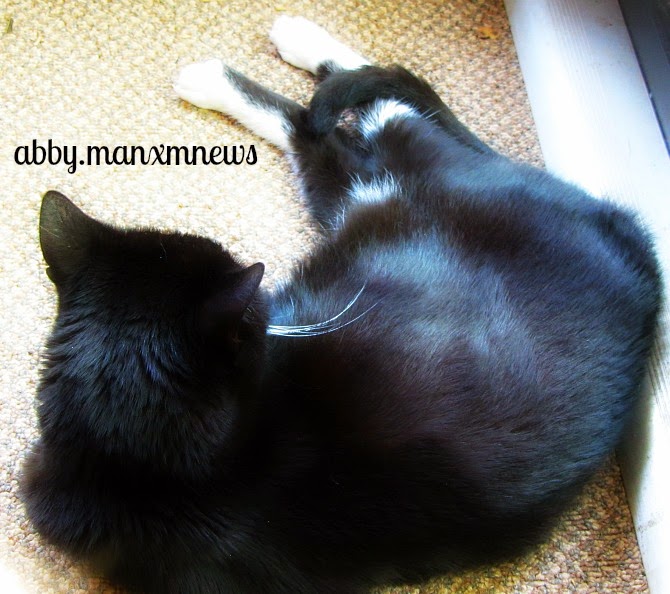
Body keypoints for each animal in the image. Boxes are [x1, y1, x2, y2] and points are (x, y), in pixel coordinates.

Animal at [21, 15, 661, 594]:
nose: (268, 296)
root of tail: (634, 241)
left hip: (397, 178)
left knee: (347, 117)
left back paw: (253, 57)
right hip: (355, 194)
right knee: (337, 130)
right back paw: (272, 53)